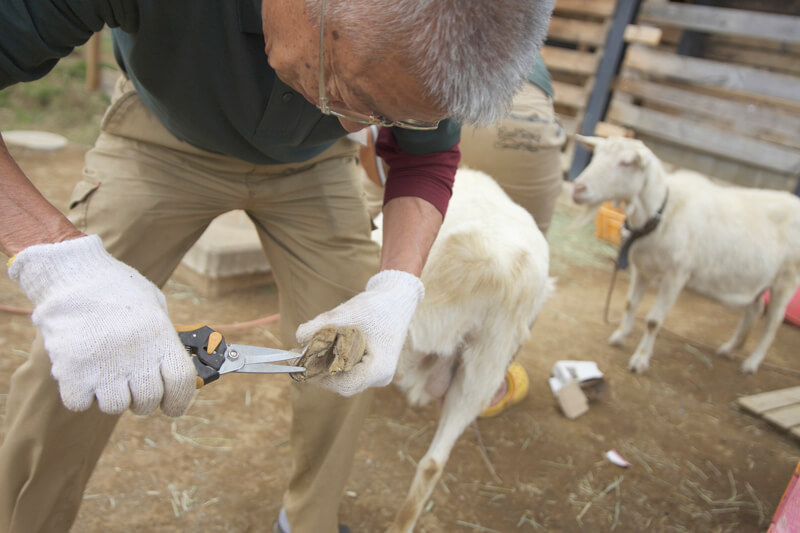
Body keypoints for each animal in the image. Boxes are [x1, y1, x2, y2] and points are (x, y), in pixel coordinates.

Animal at [572, 134, 800, 374]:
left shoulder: (676, 275)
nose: (578, 189)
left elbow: (653, 321)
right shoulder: (641, 268)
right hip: (757, 280)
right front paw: (620, 336)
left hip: (787, 279)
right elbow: (629, 303)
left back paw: (751, 363)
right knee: (754, 309)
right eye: (596, 154)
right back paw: (729, 348)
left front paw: (640, 360)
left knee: (773, 323)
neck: (661, 211)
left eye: (626, 163)